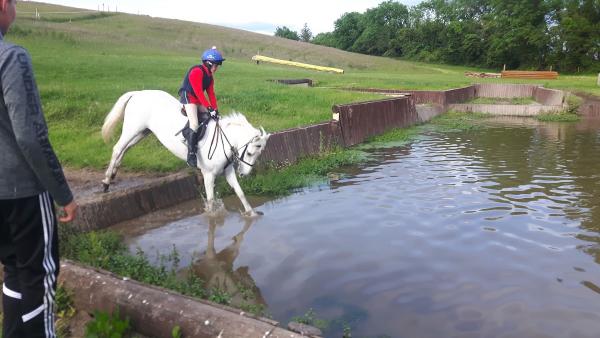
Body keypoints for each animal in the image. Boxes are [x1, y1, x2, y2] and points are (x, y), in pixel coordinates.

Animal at [102, 90, 270, 217]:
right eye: (250, 153)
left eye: (259, 153)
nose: (244, 174)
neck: (224, 139)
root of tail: (137, 93)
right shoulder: (208, 175)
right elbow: (210, 200)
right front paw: (211, 218)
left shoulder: (228, 172)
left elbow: (240, 193)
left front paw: (252, 214)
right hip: (132, 130)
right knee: (118, 148)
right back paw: (106, 182)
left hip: (142, 132)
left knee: (125, 149)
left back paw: (113, 174)